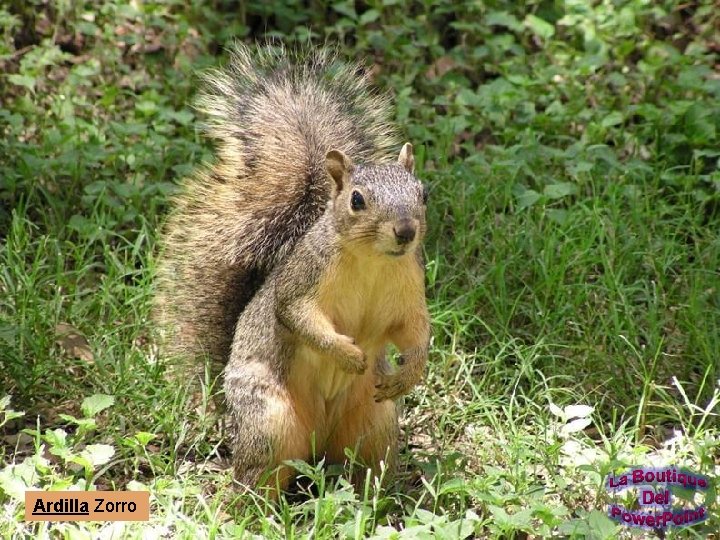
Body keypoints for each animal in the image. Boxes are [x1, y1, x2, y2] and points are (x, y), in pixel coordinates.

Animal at [154, 44, 430, 492]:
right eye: (356, 200)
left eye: (423, 193)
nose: (405, 232)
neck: (373, 261)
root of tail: (317, 444)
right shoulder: (304, 278)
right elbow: (297, 315)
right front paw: (346, 353)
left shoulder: (409, 289)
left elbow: (414, 331)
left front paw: (411, 372)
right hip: (269, 420)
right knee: (257, 473)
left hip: (375, 423)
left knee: (363, 466)